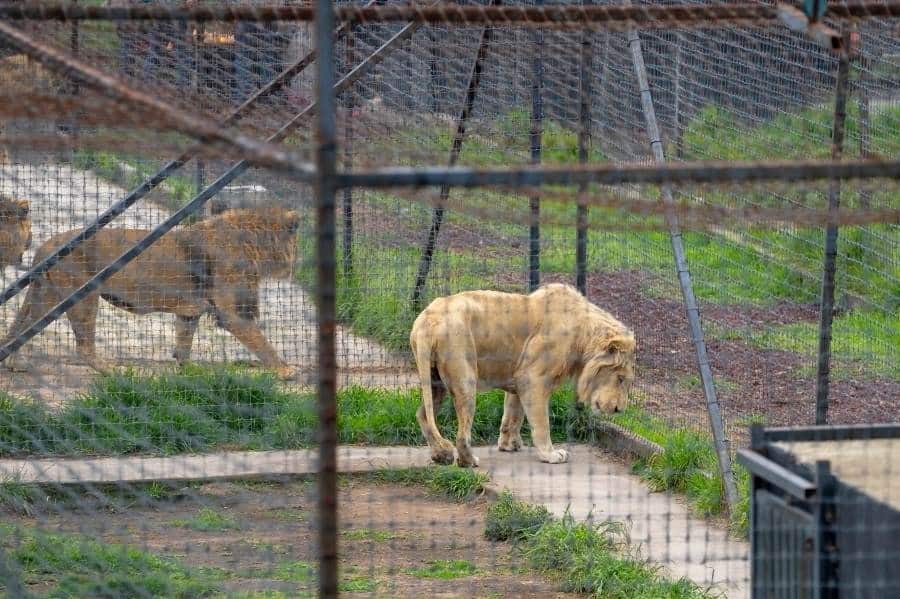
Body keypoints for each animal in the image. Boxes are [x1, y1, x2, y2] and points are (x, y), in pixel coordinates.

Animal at [1, 206, 300, 380]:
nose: (294, 268)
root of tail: (45, 245)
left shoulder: (190, 311)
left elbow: (184, 343)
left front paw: (189, 370)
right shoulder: (234, 315)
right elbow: (262, 343)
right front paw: (284, 370)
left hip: (46, 294)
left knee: (21, 328)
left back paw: (14, 362)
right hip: (82, 297)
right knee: (83, 347)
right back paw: (112, 371)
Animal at [412, 282, 636, 468]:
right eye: (621, 379)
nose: (619, 410)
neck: (583, 336)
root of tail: (428, 321)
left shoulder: (518, 378)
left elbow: (513, 414)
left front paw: (509, 444)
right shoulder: (533, 378)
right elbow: (542, 423)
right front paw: (551, 455)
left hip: (435, 381)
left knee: (423, 415)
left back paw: (441, 455)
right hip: (465, 377)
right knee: (461, 433)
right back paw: (467, 460)